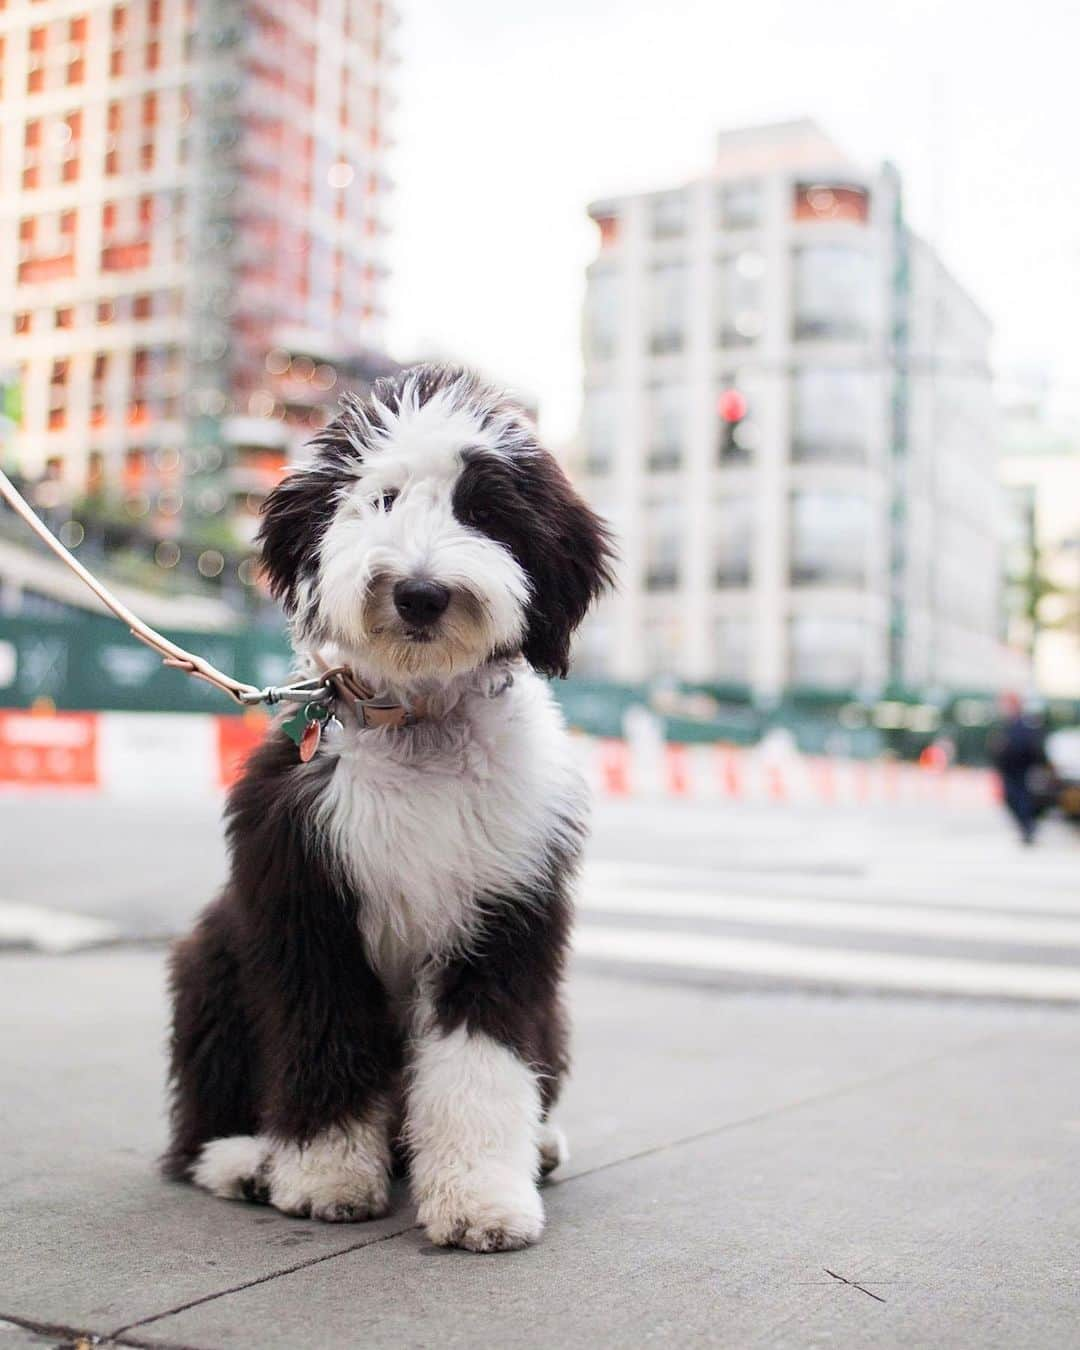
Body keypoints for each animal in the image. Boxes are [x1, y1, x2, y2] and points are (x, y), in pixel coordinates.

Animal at [163, 364, 612, 1247]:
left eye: (484, 511)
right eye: (384, 498)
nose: (421, 594)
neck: (421, 723)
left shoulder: (506, 913)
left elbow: (480, 1064)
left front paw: (481, 1199)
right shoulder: (306, 899)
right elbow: (323, 1039)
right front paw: (324, 1178)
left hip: (555, 1014)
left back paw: (538, 1145)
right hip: (215, 954)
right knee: (198, 1116)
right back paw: (243, 1160)